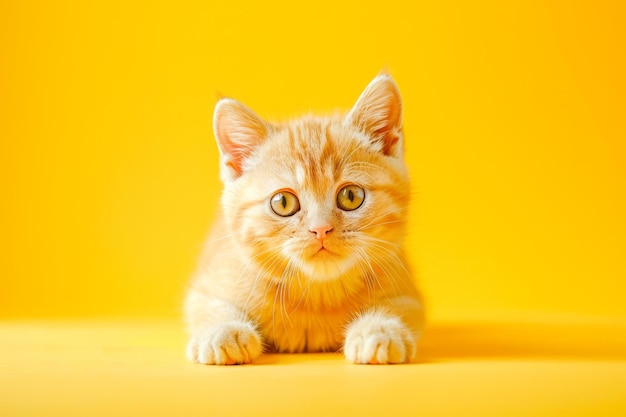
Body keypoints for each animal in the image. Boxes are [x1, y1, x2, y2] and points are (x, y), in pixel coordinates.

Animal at [183, 74, 422, 364]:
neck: (317, 296)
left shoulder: (407, 291)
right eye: (283, 203)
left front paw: (379, 331)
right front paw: (223, 333)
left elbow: (398, 307)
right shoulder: (206, 286)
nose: (321, 229)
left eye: (351, 196)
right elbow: (210, 306)